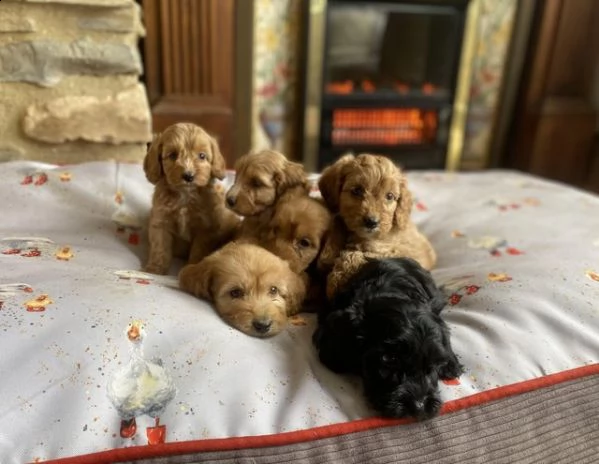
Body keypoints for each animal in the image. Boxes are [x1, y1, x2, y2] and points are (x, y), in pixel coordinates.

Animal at [143, 123, 239, 276]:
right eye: (172, 155)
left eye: (202, 156)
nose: (188, 176)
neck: (185, 195)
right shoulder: (160, 222)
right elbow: (160, 246)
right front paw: (155, 269)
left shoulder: (205, 229)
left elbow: (198, 250)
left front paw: (193, 267)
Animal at [318, 152, 436, 298]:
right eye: (357, 190)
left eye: (390, 196)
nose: (371, 222)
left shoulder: (397, 251)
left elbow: (360, 254)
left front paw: (336, 279)